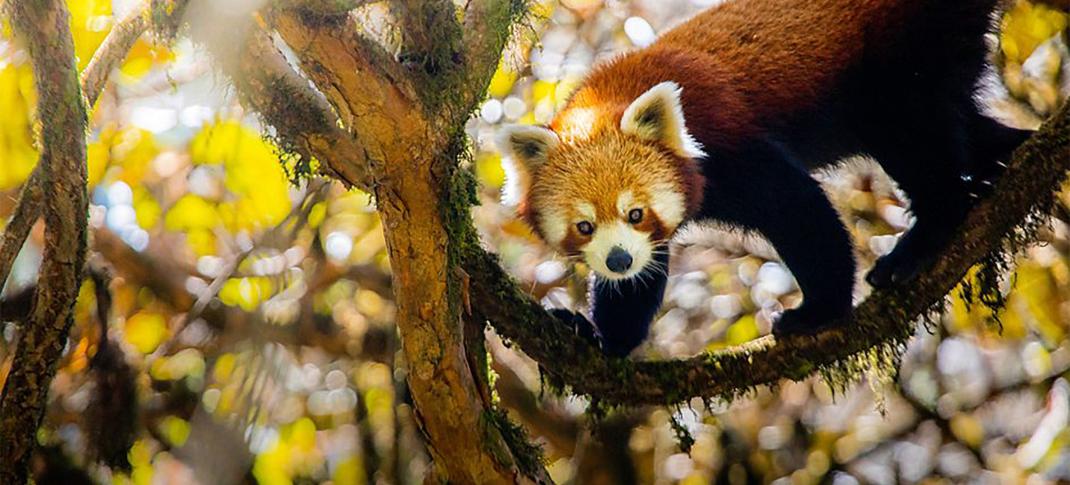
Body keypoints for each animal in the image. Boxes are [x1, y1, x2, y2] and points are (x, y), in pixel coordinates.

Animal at [494, 0, 1061, 355]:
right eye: (585, 227)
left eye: (635, 212)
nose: (617, 259)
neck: (610, 93)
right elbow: (639, 282)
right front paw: (601, 336)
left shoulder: (731, 147)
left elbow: (801, 212)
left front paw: (819, 310)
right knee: (961, 121)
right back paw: (1005, 161)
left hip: (904, 47)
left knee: (914, 134)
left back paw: (922, 241)